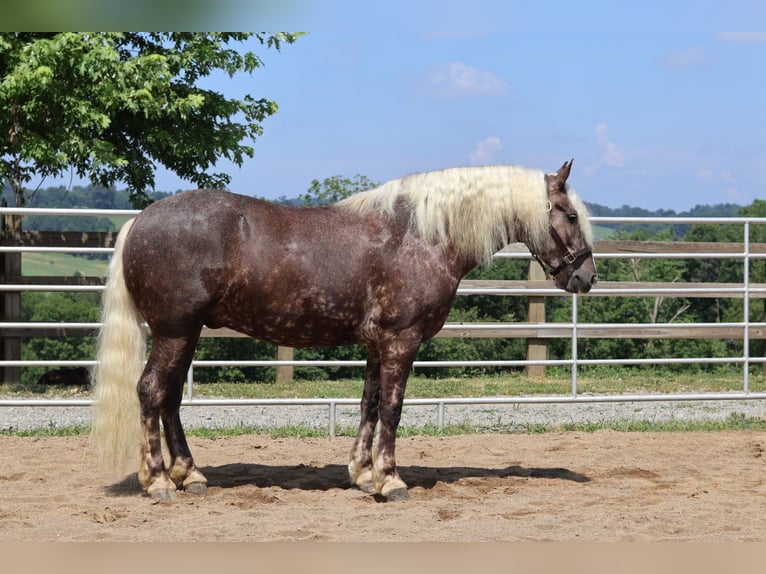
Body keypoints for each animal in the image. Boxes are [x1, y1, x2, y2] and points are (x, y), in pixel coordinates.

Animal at [91, 160, 597, 502]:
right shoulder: (400, 340)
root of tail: (140, 220)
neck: (419, 235)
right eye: (570, 215)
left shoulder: (377, 343)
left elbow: (369, 403)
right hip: (175, 331)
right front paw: (390, 481)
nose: (586, 277)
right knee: (152, 391)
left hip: (186, 333)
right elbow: (392, 408)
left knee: (170, 398)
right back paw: (159, 481)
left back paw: (190, 475)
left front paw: (362, 472)